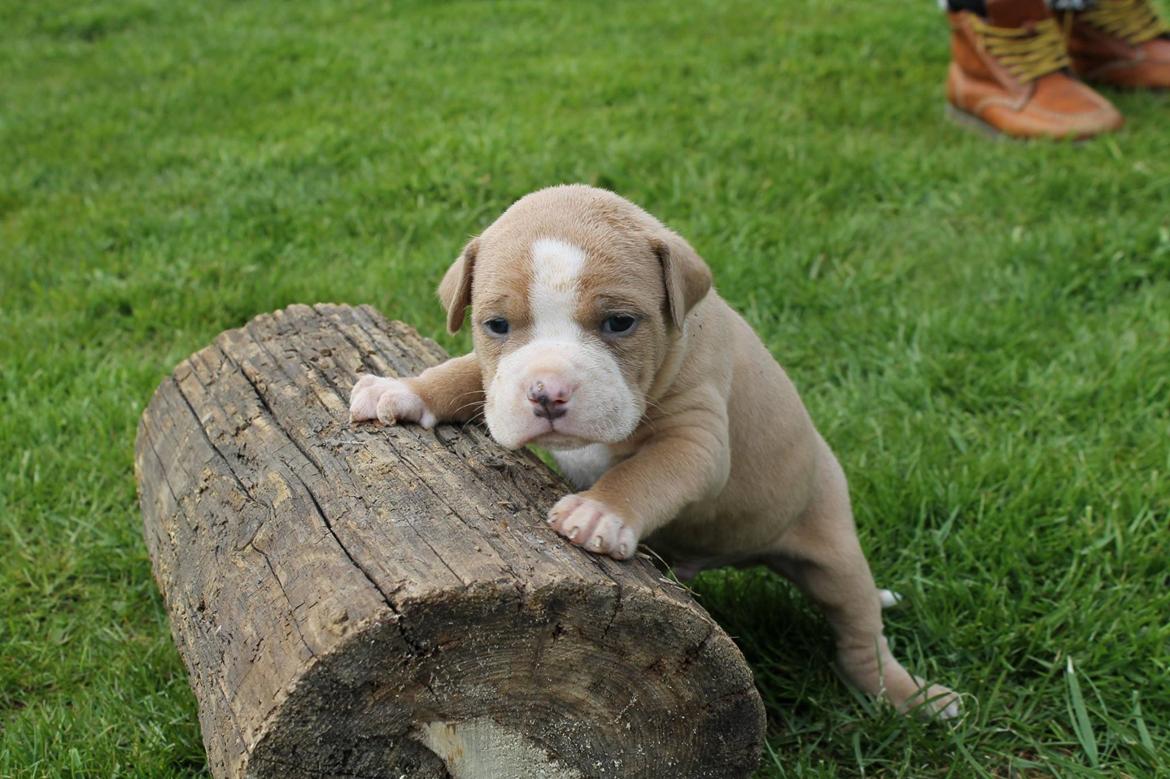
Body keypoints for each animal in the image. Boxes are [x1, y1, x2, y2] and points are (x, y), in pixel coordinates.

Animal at [351, 183, 964, 715]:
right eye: (496, 325)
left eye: (620, 322)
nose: (548, 392)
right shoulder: (494, 378)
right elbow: (463, 372)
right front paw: (402, 390)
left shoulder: (696, 440)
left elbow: (648, 470)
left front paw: (598, 513)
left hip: (834, 548)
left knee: (861, 636)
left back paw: (915, 698)